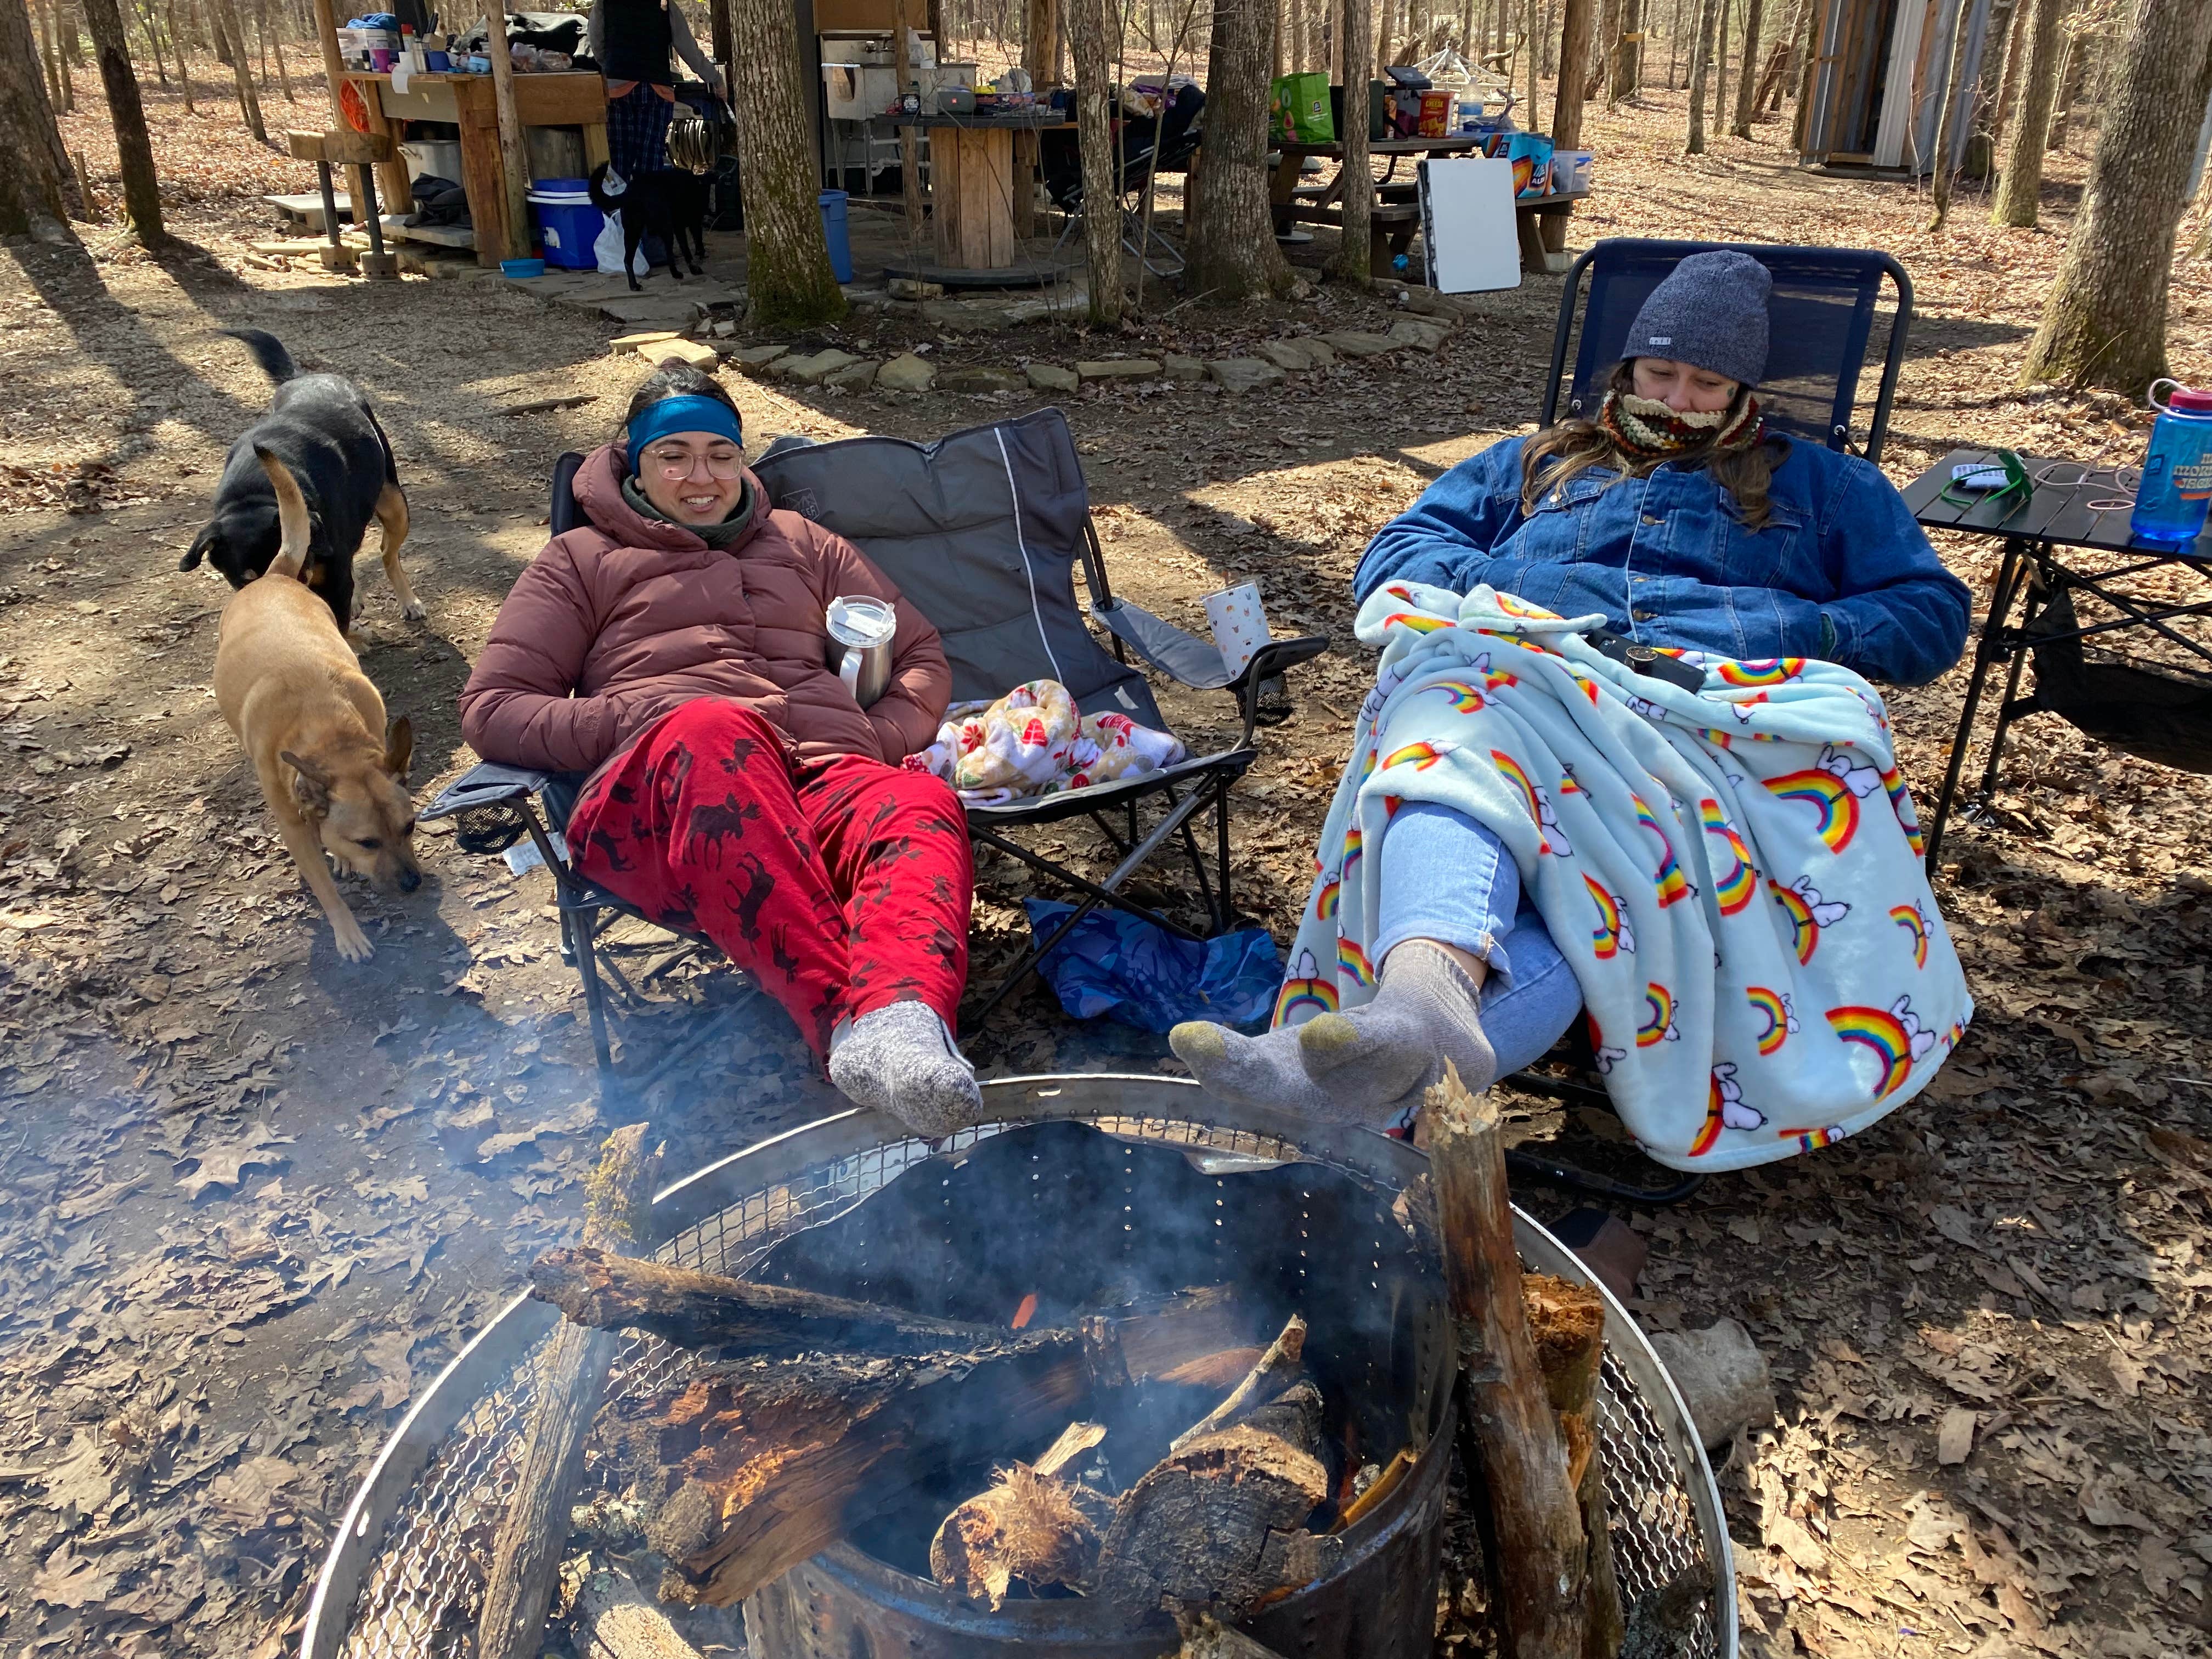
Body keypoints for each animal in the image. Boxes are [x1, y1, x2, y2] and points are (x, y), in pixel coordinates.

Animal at [182, 327, 422, 633]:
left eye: (294, 565)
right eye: (246, 580)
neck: (257, 491)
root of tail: (303, 377)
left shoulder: (335, 582)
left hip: (394, 504)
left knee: (387, 554)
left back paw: (408, 601)